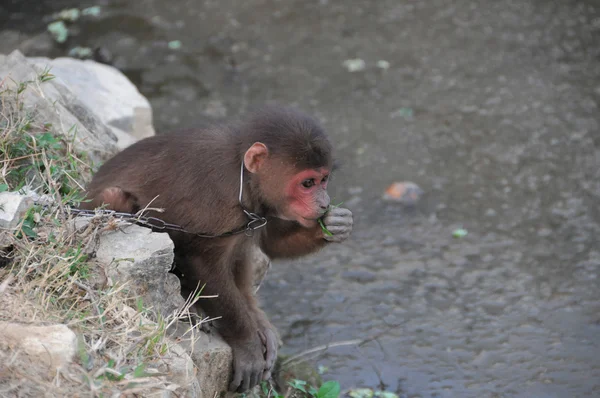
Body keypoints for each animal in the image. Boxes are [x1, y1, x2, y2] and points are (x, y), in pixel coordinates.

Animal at [79, 105, 352, 392]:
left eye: (323, 179)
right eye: (308, 183)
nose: (324, 202)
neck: (243, 175)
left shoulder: (258, 207)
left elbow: (269, 241)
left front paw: (334, 225)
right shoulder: (221, 201)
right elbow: (201, 262)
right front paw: (247, 344)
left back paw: (253, 312)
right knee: (115, 196)